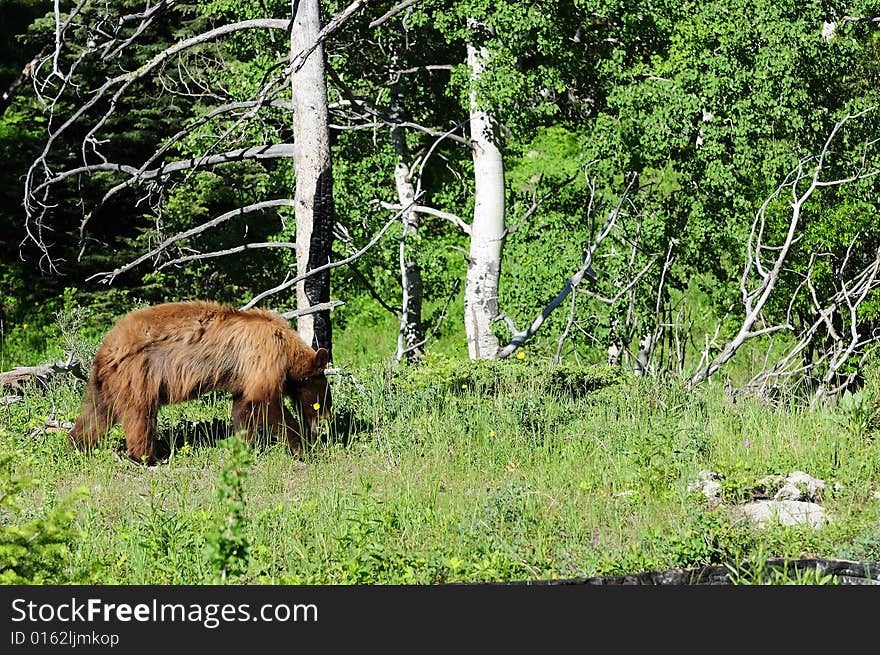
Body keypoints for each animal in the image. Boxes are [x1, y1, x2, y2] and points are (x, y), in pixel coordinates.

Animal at [70, 300, 332, 464]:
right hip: (139, 374)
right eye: (323, 401)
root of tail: (106, 347)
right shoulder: (265, 356)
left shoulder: (244, 376)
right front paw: (306, 449)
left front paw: (241, 445)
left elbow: (243, 408)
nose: (324, 426)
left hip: (107, 383)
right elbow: (267, 402)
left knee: (95, 415)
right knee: (140, 417)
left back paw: (78, 445)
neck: (287, 349)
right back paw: (147, 458)